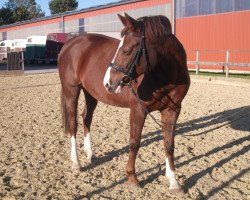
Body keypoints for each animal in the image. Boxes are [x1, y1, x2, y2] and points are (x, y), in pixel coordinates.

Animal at [58, 12, 189, 192]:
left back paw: (90, 153)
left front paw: (173, 182)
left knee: (86, 118)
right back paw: (76, 163)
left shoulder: (172, 110)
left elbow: (169, 144)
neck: (165, 77)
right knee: (73, 124)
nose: (107, 82)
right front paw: (132, 178)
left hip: (90, 93)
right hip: (71, 90)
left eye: (127, 50)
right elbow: (135, 142)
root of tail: (69, 43)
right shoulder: (138, 110)